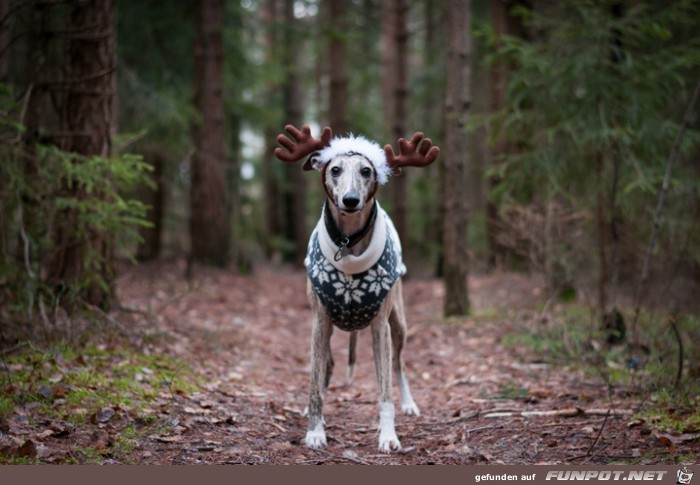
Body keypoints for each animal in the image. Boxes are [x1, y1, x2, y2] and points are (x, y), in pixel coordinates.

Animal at [276, 123, 440, 452]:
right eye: (335, 169)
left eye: (366, 170)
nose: (350, 200)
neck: (348, 244)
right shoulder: (319, 321)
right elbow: (314, 381)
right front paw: (315, 430)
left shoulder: (381, 327)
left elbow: (385, 388)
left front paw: (388, 435)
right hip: (326, 330)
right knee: (328, 365)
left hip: (398, 322)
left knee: (399, 364)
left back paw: (409, 403)